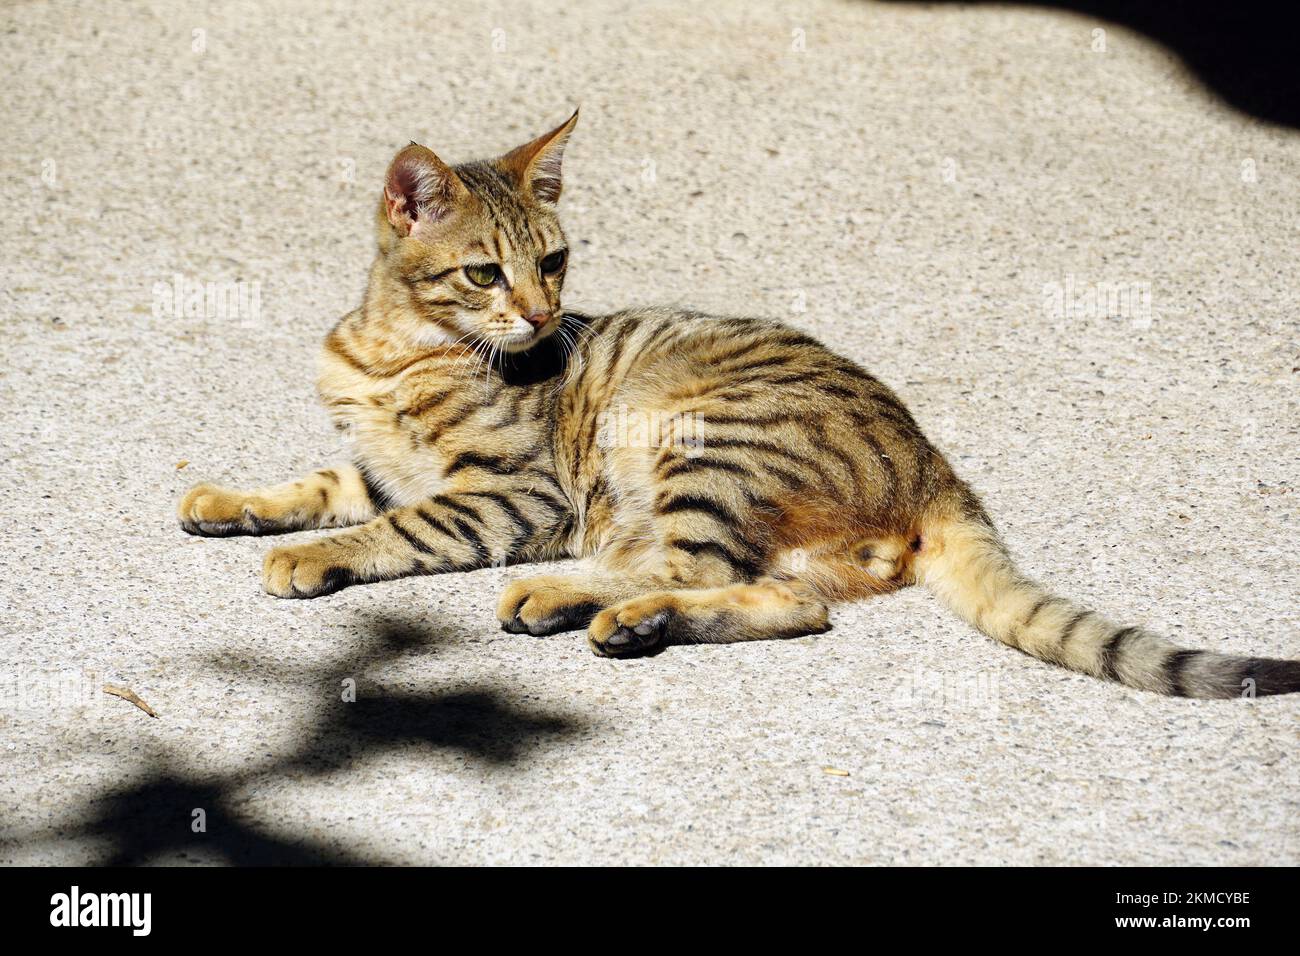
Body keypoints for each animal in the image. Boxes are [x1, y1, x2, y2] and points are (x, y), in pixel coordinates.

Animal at [175, 111, 1300, 697]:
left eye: (553, 261)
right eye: (484, 273)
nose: (540, 314)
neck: (393, 353)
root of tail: (939, 467)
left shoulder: (510, 492)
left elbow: (391, 527)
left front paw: (311, 556)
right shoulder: (375, 463)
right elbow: (313, 483)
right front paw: (229, 500)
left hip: (699, 439)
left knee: (719, 578)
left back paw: (587, 606)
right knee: (776, 594)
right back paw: (604, 610)